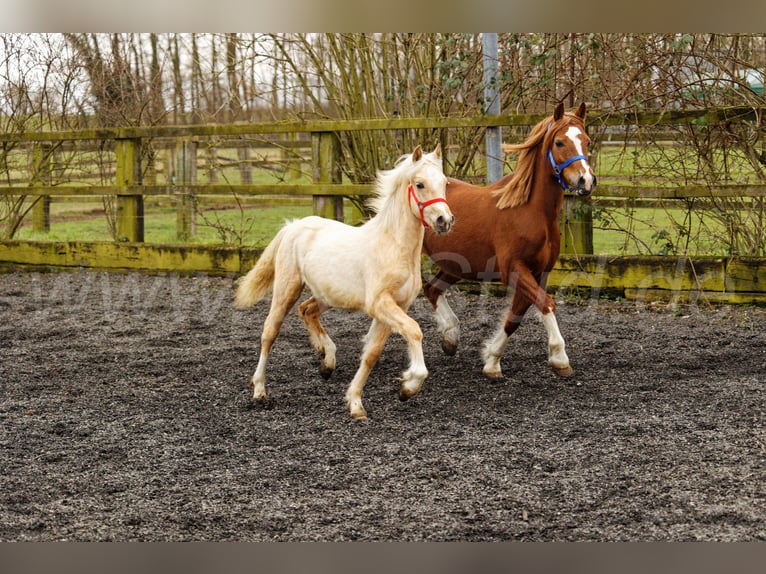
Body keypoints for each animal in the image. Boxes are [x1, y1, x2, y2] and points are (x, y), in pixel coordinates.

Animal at [237, 146, 452, 420]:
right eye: (420, 184)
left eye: (444, 183)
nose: (445, 221)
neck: (394, 246)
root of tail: (294, 226)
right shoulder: (380, 304)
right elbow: (414, 331)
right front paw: (410, 384)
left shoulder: (397, 307)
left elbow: (371, 354)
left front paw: (357, 403)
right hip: (287, 288)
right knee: (269, 332)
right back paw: (260, 391)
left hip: (327, 295)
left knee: (306, 310)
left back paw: (326, 360)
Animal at [424, 102, 596, 382]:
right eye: (559, 142)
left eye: (587, 141)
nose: (586, 180)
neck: (531, 211)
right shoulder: (513, 268)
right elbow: (547, 304)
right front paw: (560, 358)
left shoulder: (538, 272)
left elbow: (516, 316)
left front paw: (492, 361)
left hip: (456, 265)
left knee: (431, 289)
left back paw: (450, 338)